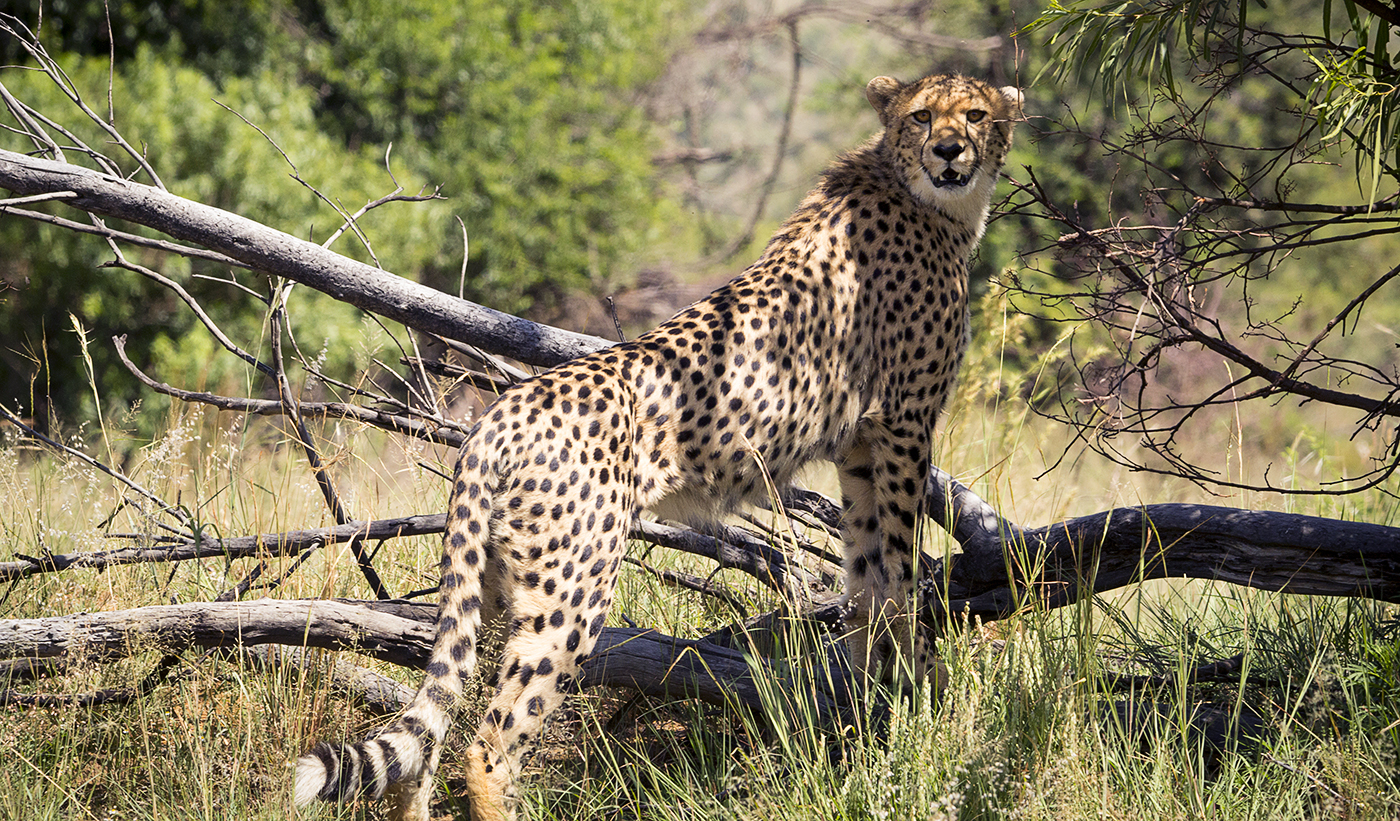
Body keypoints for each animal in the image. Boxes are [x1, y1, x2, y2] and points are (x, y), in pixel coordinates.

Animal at [293, 72, 1020, 821]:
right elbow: (901, 575)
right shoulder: (901, 425)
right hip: (574, 585)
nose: (949, 150)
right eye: (922, 117)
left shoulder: (859, 446)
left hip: (491, 579)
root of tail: (503, 411)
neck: (926, 198)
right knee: (491, 742)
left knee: (437, 715)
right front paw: (920, 694)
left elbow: (869, 574)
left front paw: (875, 702)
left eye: (974, 115)